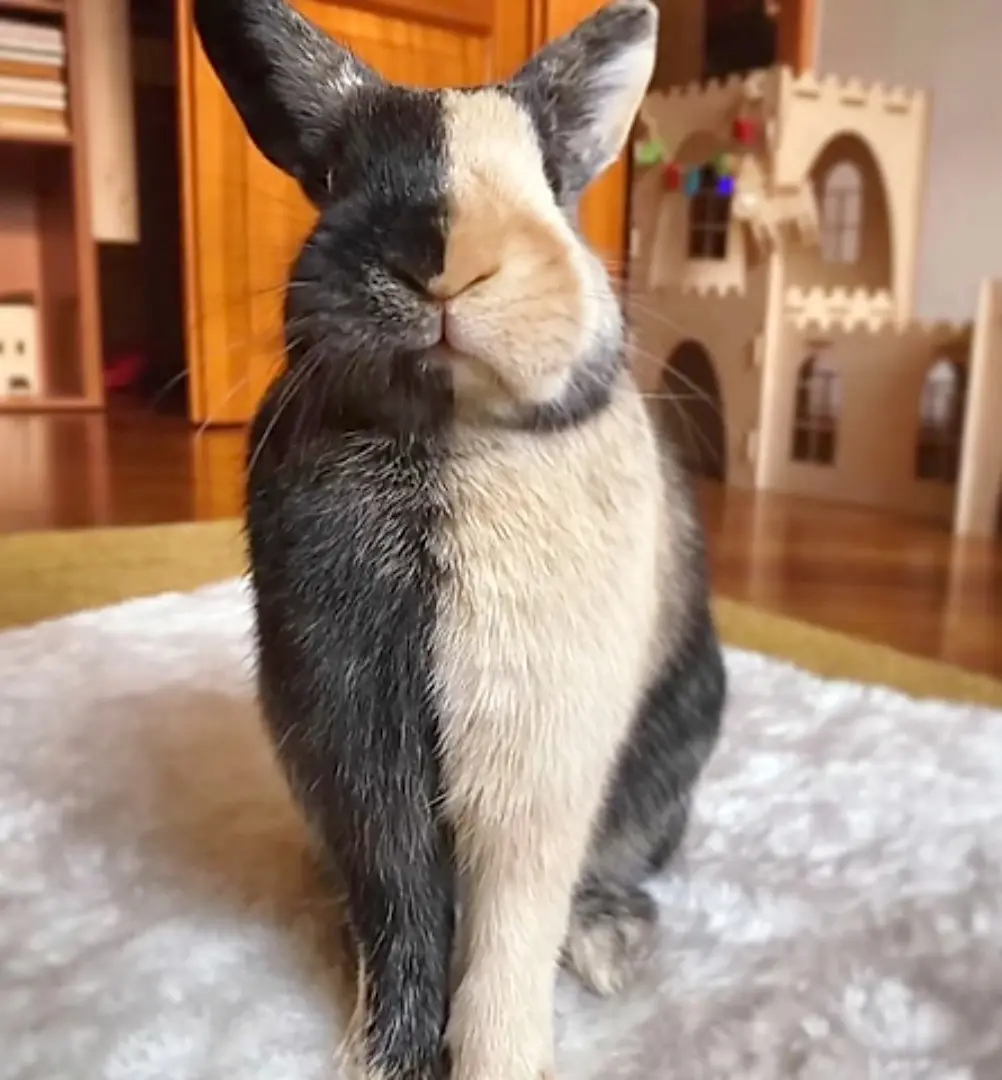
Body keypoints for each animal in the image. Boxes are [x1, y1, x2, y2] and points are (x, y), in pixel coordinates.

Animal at [193, 1, 726, 1078]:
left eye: (553, 182)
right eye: (332, 175)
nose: (445, 264)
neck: (449, 438)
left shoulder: (537, 749)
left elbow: (508, 931)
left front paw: (501, 1059)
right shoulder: (356, 738)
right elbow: (401, 908)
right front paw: (388, 1058)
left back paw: (608, 942)